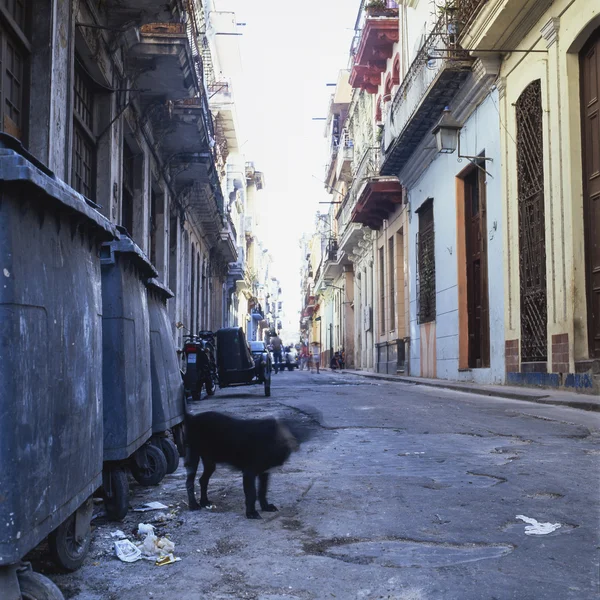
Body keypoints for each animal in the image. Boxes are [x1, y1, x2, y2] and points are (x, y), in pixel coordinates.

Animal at [183, 410, 316, 516]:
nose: (296, 444)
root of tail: (192, 418)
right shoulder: (249, 473)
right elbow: (252, 494)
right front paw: (251, 513)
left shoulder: (264, 472)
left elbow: (262, 491)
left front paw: (265, 507)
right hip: (193, 457)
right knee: (189, 482)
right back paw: (193, 504)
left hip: (210, 462)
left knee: (203, 480)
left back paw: (204, 501)